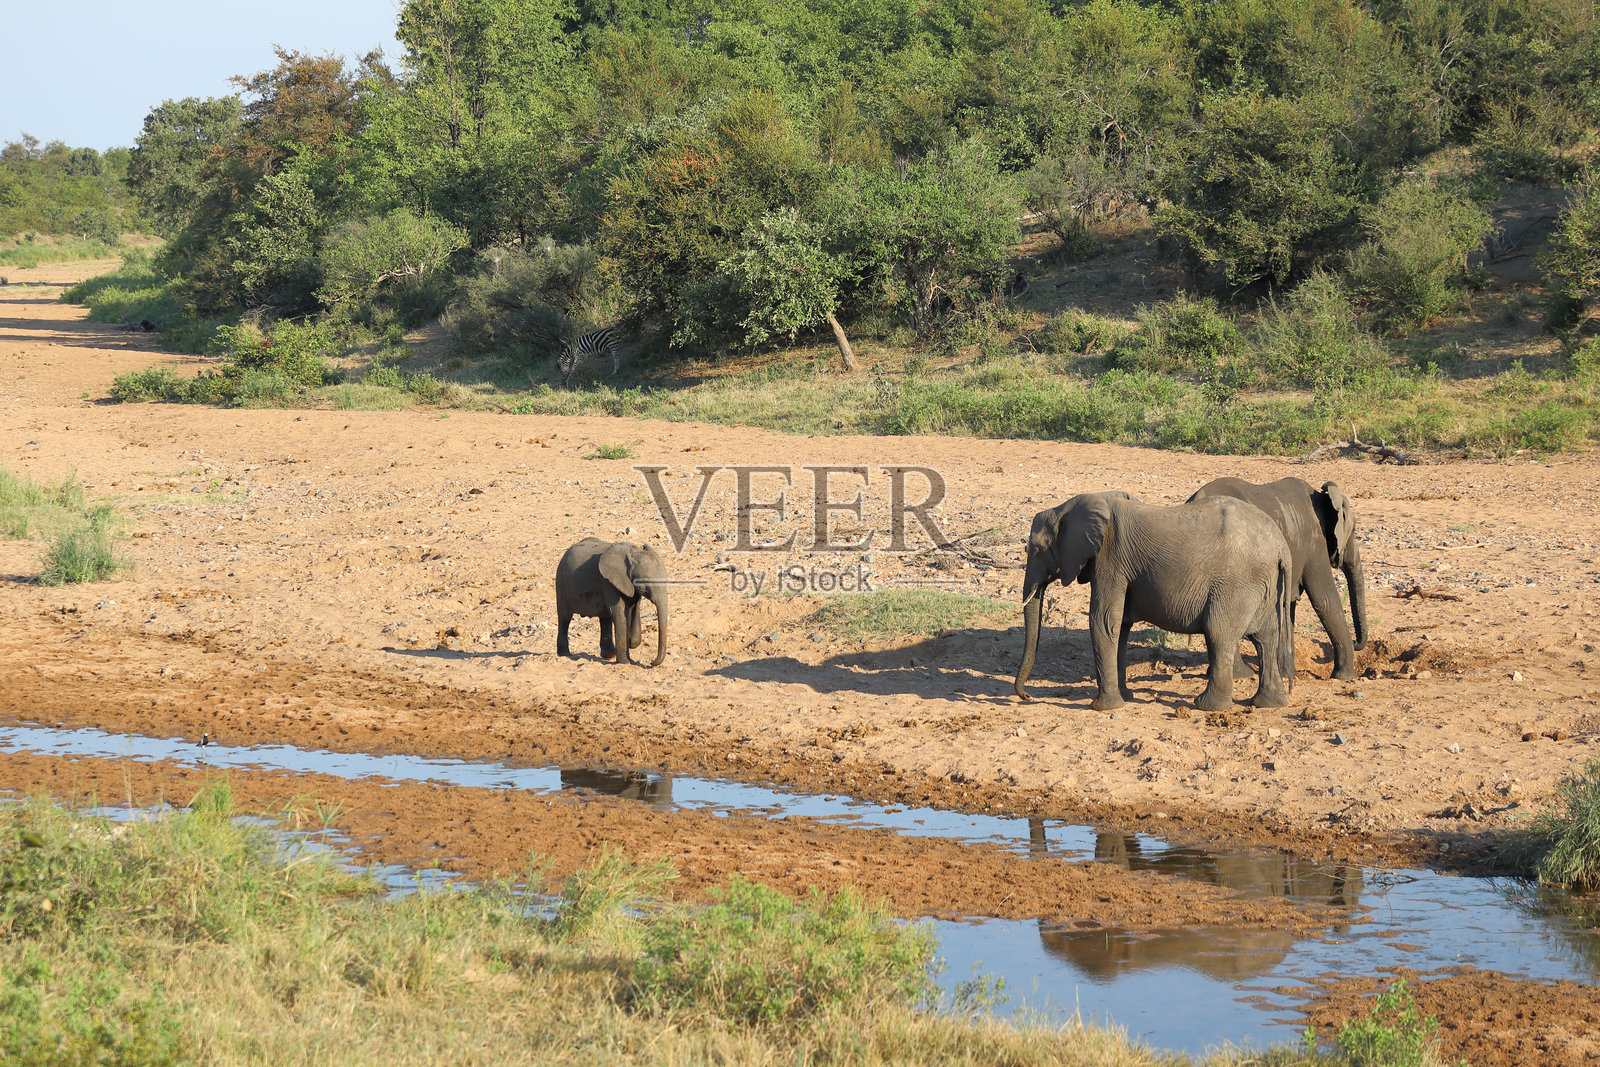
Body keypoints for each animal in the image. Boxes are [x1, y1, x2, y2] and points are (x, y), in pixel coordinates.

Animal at [555, 538, 668, 666]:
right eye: (644, 583)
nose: (651, 662)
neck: (633, 553)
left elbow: (633, 609)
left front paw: (630, 645)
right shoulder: (608, 582)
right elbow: (619, 613)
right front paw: (625, 662)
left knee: (605, 618)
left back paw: (609, 654)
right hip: (561, 585)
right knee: (565, 618)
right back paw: (565, 654)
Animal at [1014, 492, 1294, 711]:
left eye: (1036, 550)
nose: (1026, 696)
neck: (1068, 507)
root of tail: (1281, 546)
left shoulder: (1110, 557)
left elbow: (1104, 620)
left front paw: (1104, 707)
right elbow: (1120, 626)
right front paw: (1125, 697)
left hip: (1237, 584)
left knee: (1219, 633)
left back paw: (1207, 706)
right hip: (1263, 584)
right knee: (1266, 636)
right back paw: (1268, 703)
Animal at [1188, 477, 1368, 680]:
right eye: (1354, 530)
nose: (1357, 643)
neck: (1323, 498)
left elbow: (1286, 605)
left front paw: (1287, 675)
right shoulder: (1314, 543)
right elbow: (1325, 599)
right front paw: (1346, 677)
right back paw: (1242, 674)